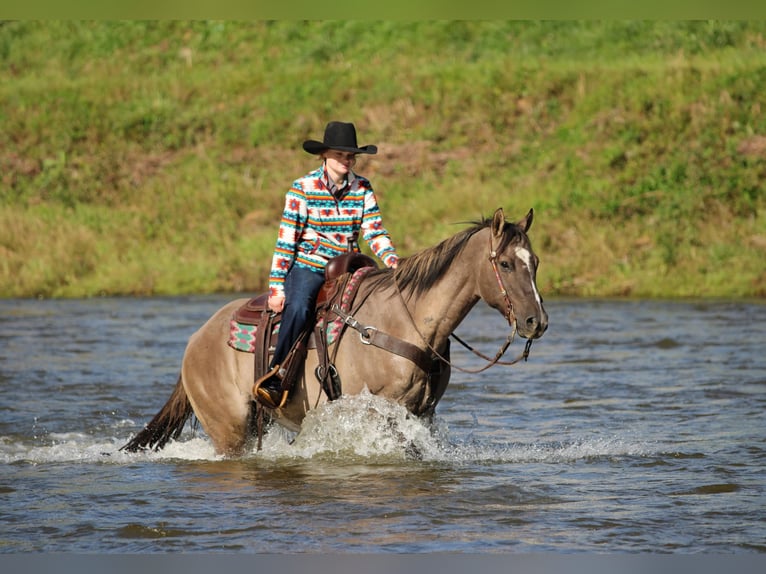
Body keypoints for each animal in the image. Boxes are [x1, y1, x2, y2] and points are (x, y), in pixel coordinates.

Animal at [121, 208, 548, 456]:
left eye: (536, 262)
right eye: (505, 264)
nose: (536, 322)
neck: (405, 320)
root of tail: (196, 340)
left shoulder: (422, 412)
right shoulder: (375, 409)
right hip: (229, 431)